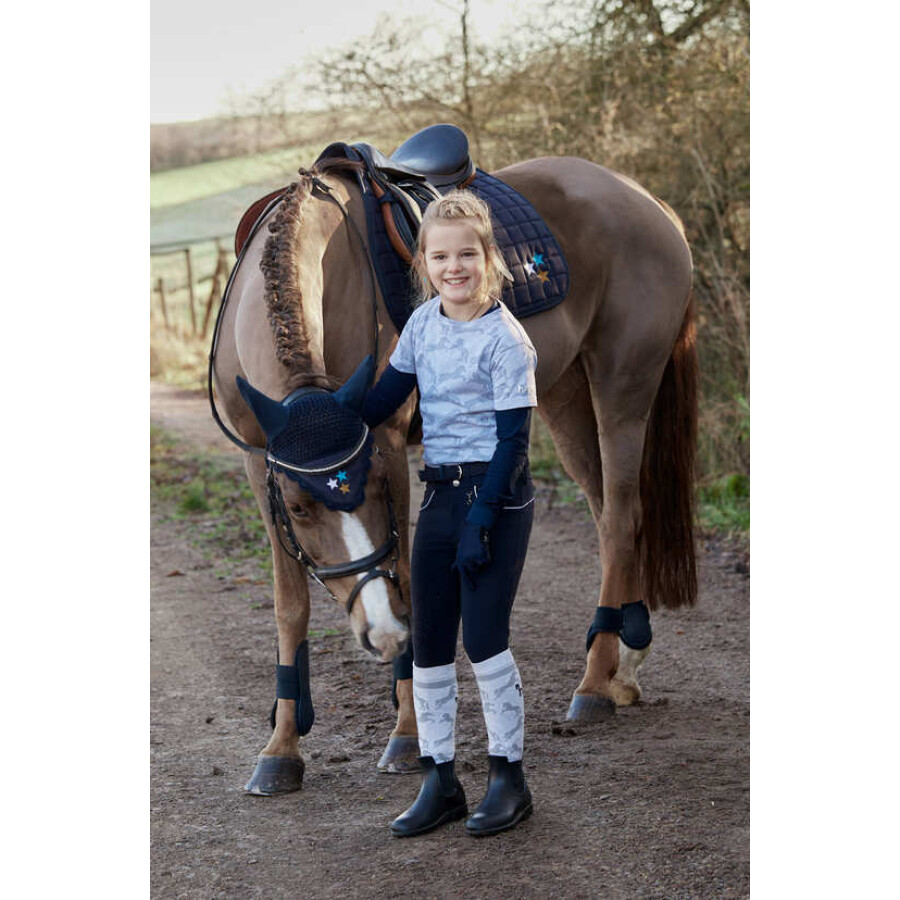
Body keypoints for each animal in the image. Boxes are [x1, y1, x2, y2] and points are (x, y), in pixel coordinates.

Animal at [210, 136, 697, 795]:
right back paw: (625, 665)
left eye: (373, 487)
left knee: (622, 516)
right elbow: (291, 606)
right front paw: (281, 750)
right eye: (300, 507)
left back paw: (595, 684)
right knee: (609, 517)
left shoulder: (388, 443)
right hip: (564, 397)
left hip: (623, 386)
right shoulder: (258, 464)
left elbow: (406, 577)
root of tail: (646, 200)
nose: (381, 631)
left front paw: (407, 735)